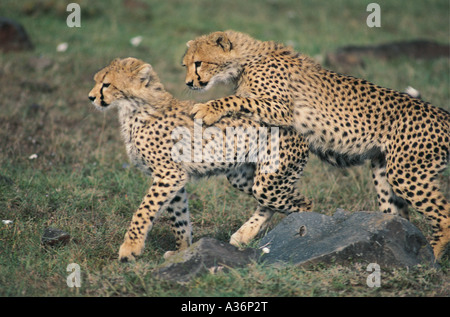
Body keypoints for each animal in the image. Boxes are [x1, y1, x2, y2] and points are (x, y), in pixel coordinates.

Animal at [89, 57, 312, 262]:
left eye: (106, 84)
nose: (91, 97)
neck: (136, 108)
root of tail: (297, 125)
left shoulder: (168, 174)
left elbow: (144, 210)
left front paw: (130, 248)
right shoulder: (174, 178)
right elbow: (178, 217)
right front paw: (182, 251)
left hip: (268, 183)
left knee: (303, 203)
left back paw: (301, 233)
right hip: (245, 178)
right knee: (278, 202)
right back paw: (244, 235)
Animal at [183, 30, 450, 260]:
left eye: (198, 63)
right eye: (186, 65)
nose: (188, 83)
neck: (245, 61)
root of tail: (443, 114)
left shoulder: (282, 109)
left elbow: (236, 99)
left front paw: (207, 109)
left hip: (407, 174)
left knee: (444, 215)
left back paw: (432, 257)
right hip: (384, 173)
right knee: (399, 216)